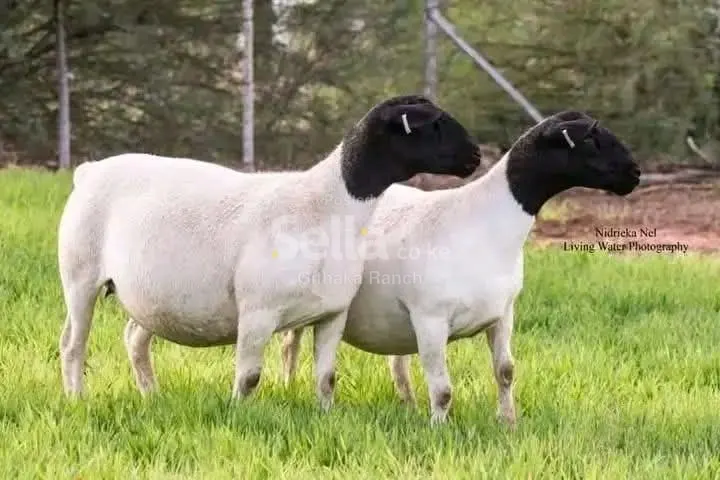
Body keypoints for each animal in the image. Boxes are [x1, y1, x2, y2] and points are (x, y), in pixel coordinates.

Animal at [57, 94, 483, 411]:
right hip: (80, 275)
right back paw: (77, 399)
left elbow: (326, 377)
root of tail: (90, 170)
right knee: (72, 344)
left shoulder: (332, 313)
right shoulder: (257, 310)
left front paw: (326, 415)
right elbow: (248, 377)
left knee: (134, 339)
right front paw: (237, 414)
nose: (477, 157)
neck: (328, 206)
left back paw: (151, 395)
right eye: (434, 125)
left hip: (151, 294)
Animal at [279, 110, 641, 424]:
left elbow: (505, 371)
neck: (485, 224)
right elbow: (442, 389)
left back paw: (407, 404)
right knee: (289, 346)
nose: (635, 173)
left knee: (396, 363)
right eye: (591, 139)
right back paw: (287, 388)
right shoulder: (430, 318)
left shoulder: (503, 313)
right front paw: (439, 428)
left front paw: (508, 422)